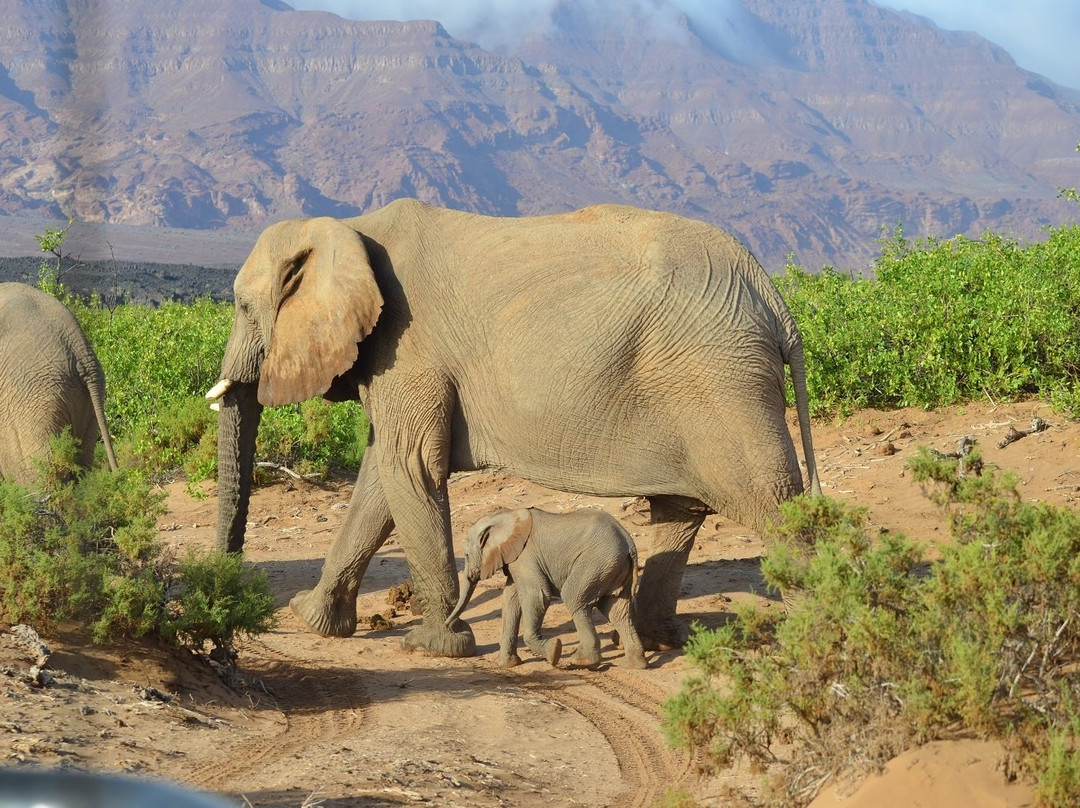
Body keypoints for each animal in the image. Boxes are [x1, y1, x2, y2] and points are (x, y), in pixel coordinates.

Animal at [445, 507, 648, 669]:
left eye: (466, 555)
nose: (449, 626)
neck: (506, 515)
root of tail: (629, 544)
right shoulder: (516, 560)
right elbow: (511, 599)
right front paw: (505, 665)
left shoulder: (525, 556)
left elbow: (537, 595)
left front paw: (554, 652)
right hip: (612, 567)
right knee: (617, 610)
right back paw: (633, 665)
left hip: (596, 562)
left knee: (573, 597)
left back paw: (581, 661)